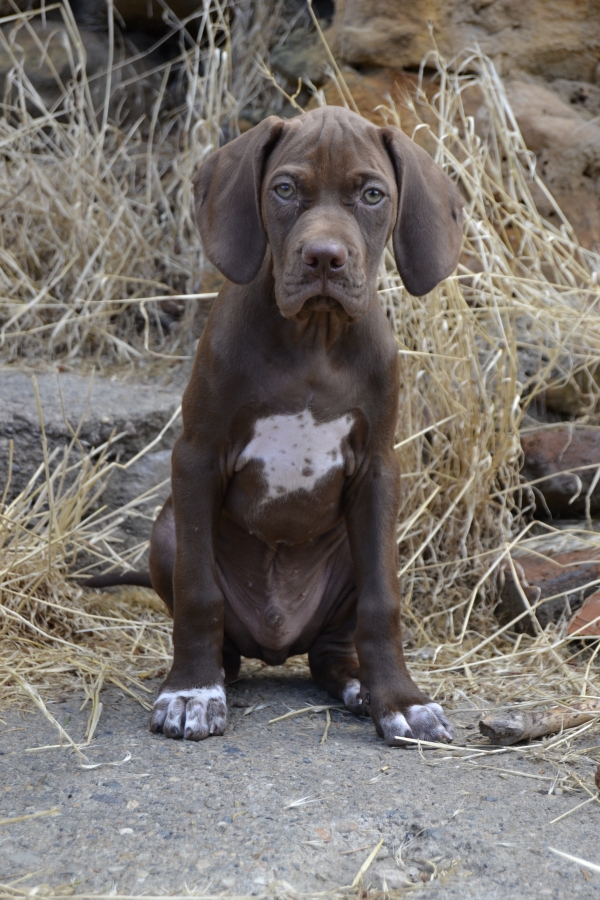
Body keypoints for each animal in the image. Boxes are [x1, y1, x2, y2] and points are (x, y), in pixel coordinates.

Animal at [89, 105, 463, 746]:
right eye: (285, 189)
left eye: (372, 194)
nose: (324, 258)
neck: (313, 337)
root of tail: (276, 639)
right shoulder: (196, 457)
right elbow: (198, 595)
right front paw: (191, 692)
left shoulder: (379, 471)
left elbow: (383, 602)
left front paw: (402, 701)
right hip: (166, 530)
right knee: (218, 627)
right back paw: (214, 675)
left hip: (350, 556)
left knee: (330, 652)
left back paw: (358, 686)